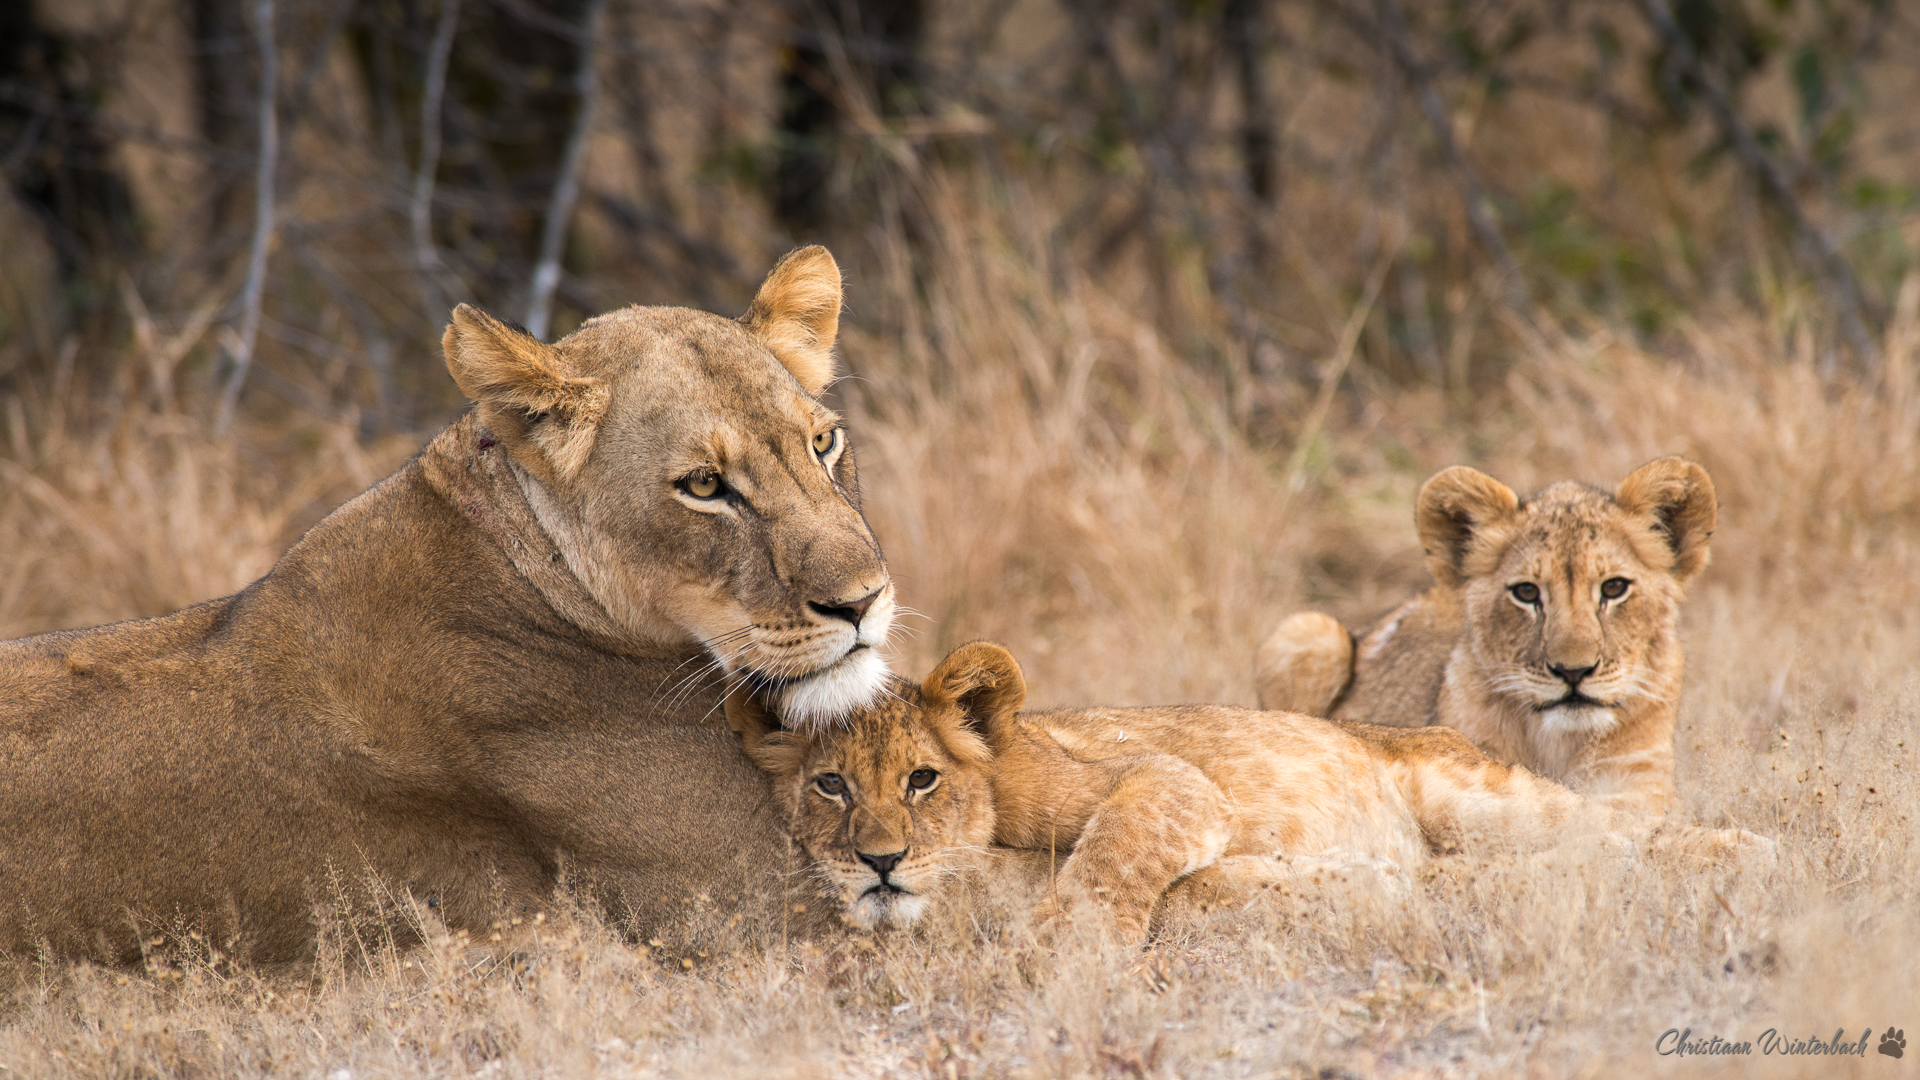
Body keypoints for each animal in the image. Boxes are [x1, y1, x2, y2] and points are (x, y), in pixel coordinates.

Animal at [727, 641, 1759, 945]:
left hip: (1478, 797)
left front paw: (1065, 950)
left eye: (923, 779)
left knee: (1614, 832)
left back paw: (1749, 853)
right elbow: (1202, 892)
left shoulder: (1160, 779)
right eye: (829, 786)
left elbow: (1123, 857)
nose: (880, 861)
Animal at [1254, 458, 1717, 814]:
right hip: (1308, 630)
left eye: (1614, 587)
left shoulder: (1640, 786)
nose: (1573, 672)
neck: (1559, 744)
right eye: (1526, 592)